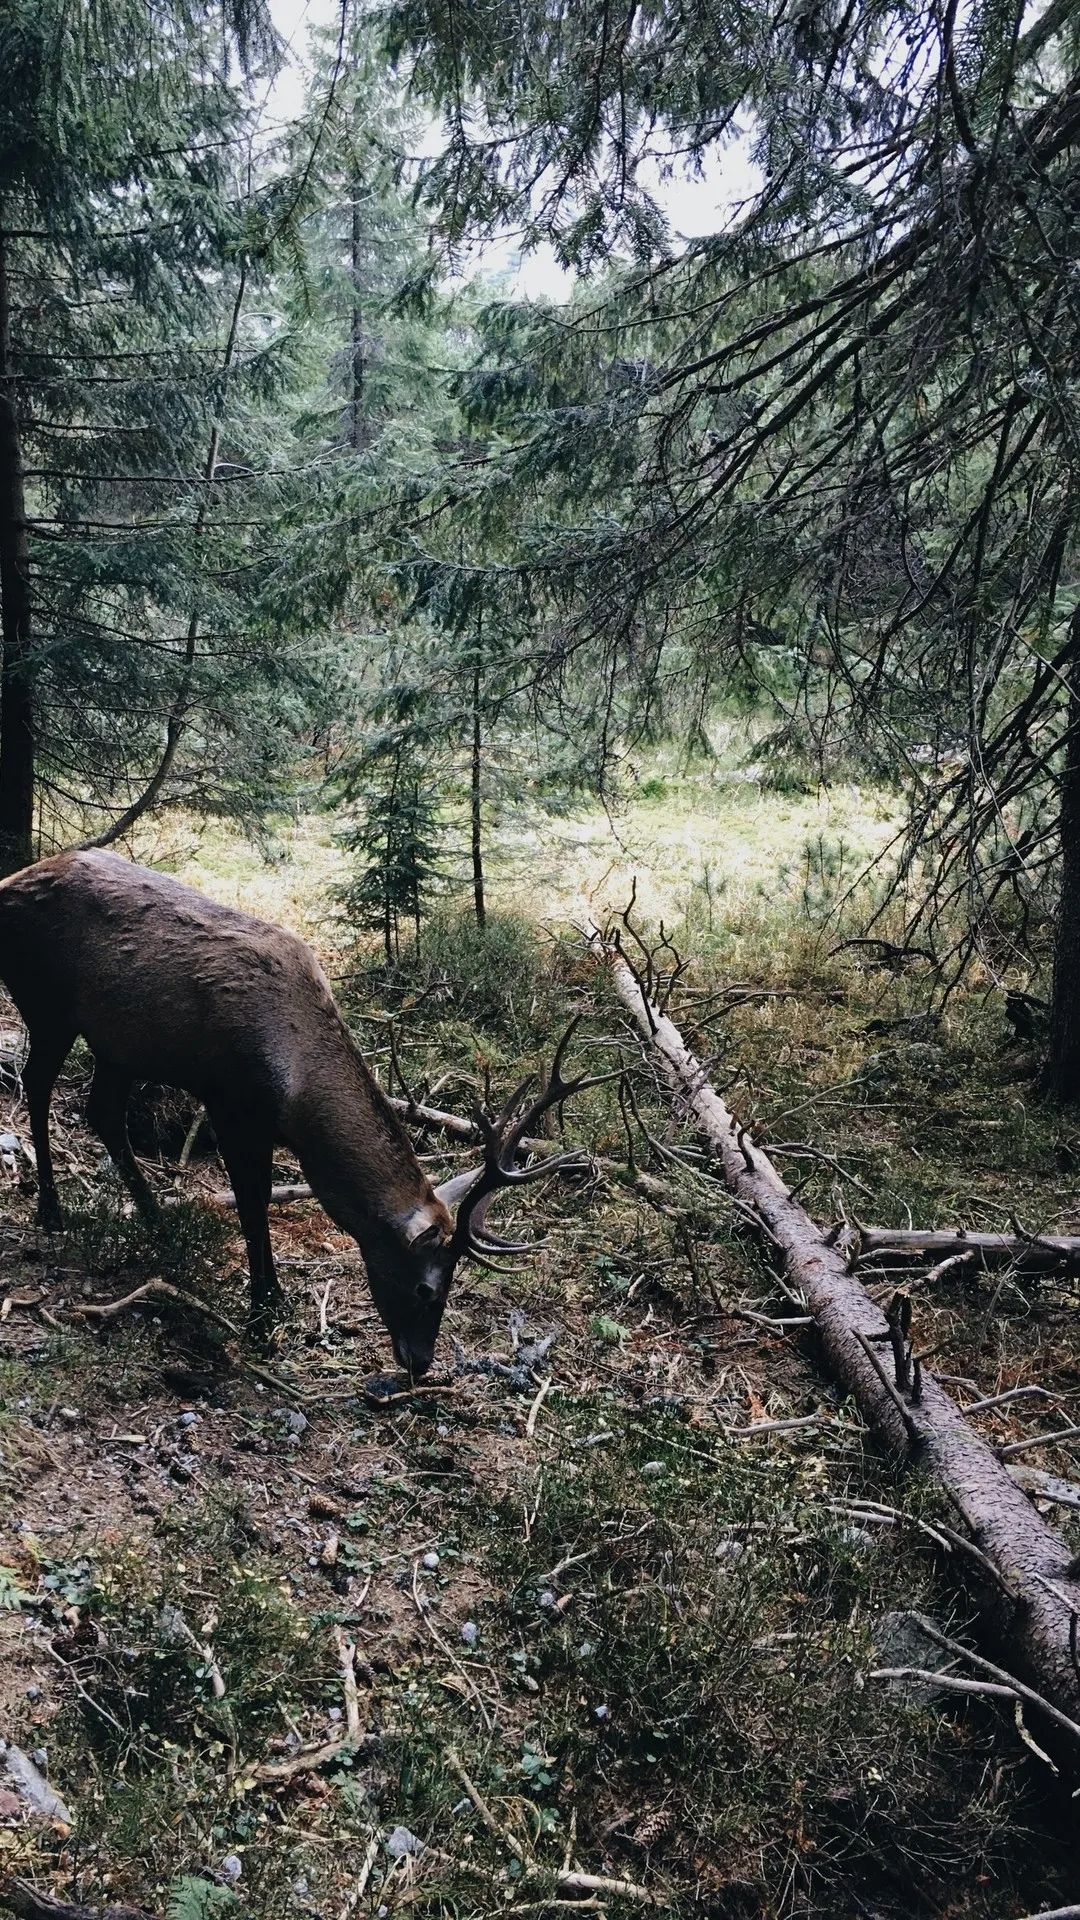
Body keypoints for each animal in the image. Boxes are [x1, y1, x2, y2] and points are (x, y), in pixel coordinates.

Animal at [0, 849, 598, 1376]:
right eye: (427, 1287)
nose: (421, 1362)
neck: (293, 1083)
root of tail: (9, 885)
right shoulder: (229, 1100)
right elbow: (251, 1199)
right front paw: (263, 1309)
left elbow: (258, 1197)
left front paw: (272, 1298)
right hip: (48, 1007)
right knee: (38, 1087)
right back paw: (50, 1209)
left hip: (116, 1043)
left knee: (102, 1113)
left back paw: (157, 1221)